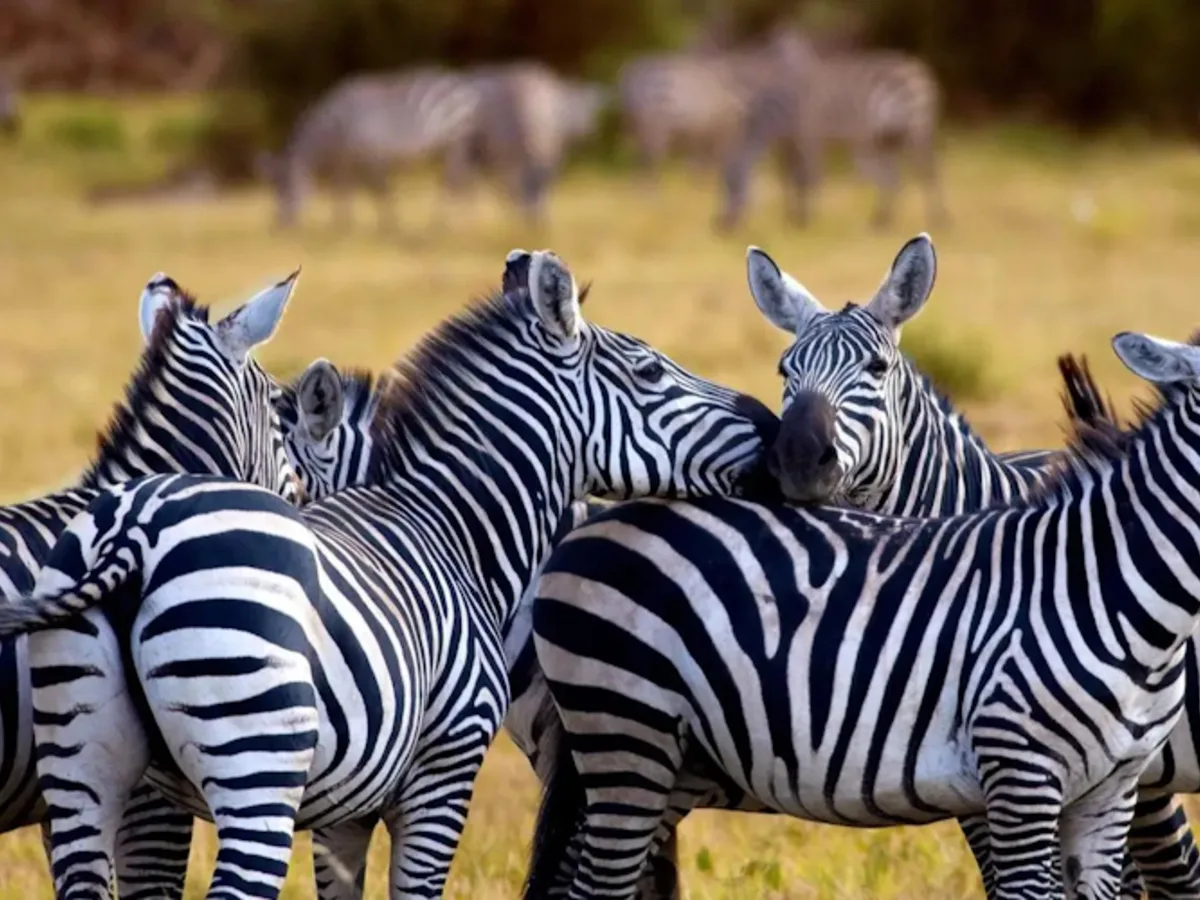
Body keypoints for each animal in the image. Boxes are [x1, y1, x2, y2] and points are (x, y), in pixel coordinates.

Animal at [259, 67, 481, 231]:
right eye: (275, 192)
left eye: (287, 191)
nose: (278, 227)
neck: (337, 127)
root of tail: (461, 85)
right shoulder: (345, 161)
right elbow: (342, 190)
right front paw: (341, 226)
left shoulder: (372, 155)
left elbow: (379, 191)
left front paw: (389, 228)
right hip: (453, 144)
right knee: (465, 179)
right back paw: (466, 222)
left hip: (455, 139)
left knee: (453, 180)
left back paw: (440, 225)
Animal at [524, 322, 1200, 900]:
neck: (1113, 588)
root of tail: (603, 518)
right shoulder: (1018, 776)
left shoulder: (1113, 791)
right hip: (623, 730)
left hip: (669, 758)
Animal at [716, 28, 945, 231]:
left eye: (731, 184)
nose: (719, 227)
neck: (780, 109)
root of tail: (916, 69)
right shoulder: (786, 143)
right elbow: (787, 179)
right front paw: (790, 217)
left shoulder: (809, 134)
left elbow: (807, 178)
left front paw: (804, 220)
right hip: (885, 139)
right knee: (895, 178)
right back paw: (882, 221)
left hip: (914, 131)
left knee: (926, 172)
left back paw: (937, 220)